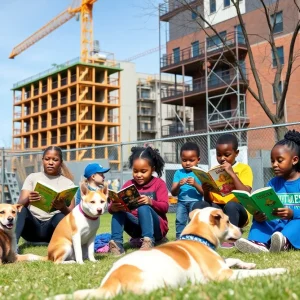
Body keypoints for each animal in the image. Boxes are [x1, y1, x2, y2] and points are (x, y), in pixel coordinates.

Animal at [52, 207, 288, 298]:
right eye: (229, 221)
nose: (240, 230)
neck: (198, 238)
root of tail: (113, 280)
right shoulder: (223, 275)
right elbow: (256, 273)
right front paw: (277, 270)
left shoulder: (220, 263)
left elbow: (233, 258)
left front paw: (248, 262)